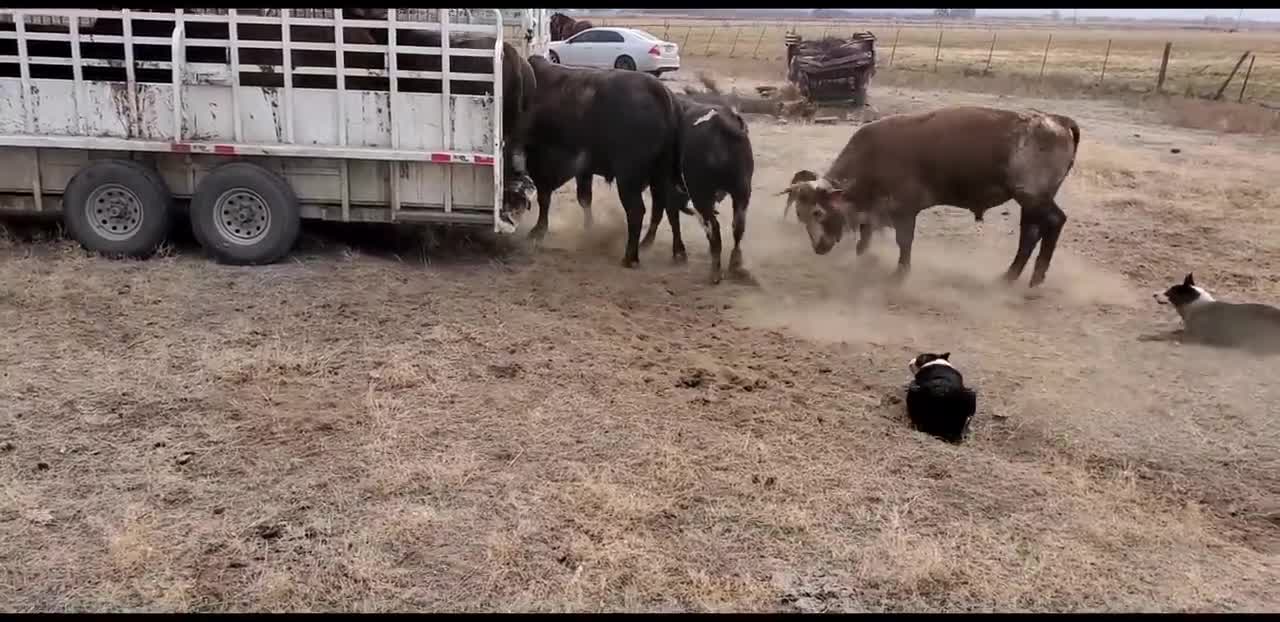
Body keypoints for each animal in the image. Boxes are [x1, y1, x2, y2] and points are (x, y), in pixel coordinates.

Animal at [517, 53, 686, 267]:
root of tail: (662, 94)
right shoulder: (583, 170)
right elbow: (584, 198)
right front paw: (589, 228)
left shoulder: (543, 162)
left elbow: (544, 198)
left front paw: (538, 231)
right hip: (662, 173)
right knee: (669, 205)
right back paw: (675, 251)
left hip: (628, 178)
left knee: (637, 211)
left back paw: (630, 257)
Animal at [778, 105, 1080, 287]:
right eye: (800, 215)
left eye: (818, 212)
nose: (818, 247)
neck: (872, 157)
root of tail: (1058, 121)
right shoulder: (873, 213)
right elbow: (864, 241)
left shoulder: (904, 211)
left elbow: (904, 242)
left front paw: (900, 274)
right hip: (1029, 202)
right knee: (1031, 233)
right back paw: (1009, 277)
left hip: (1033, 198)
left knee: (1053, 223)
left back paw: (1034, 279)